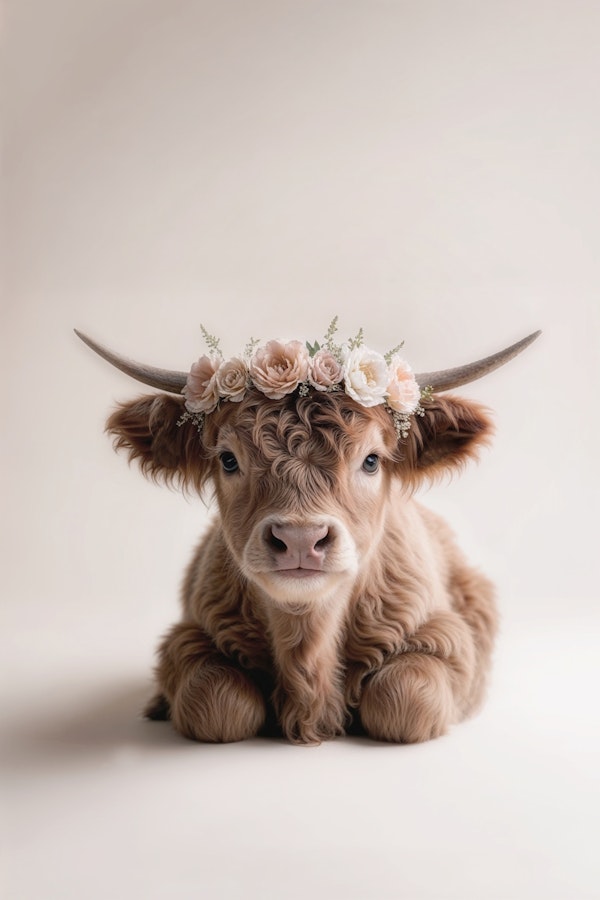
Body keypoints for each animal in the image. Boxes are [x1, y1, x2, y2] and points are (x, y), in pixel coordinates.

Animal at [76, 326, 539, 745]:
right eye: (228, 459)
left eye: (371, 460)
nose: (300, 539)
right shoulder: (188, 636)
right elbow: (217, 702)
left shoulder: (446, 636)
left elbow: (403, 698)